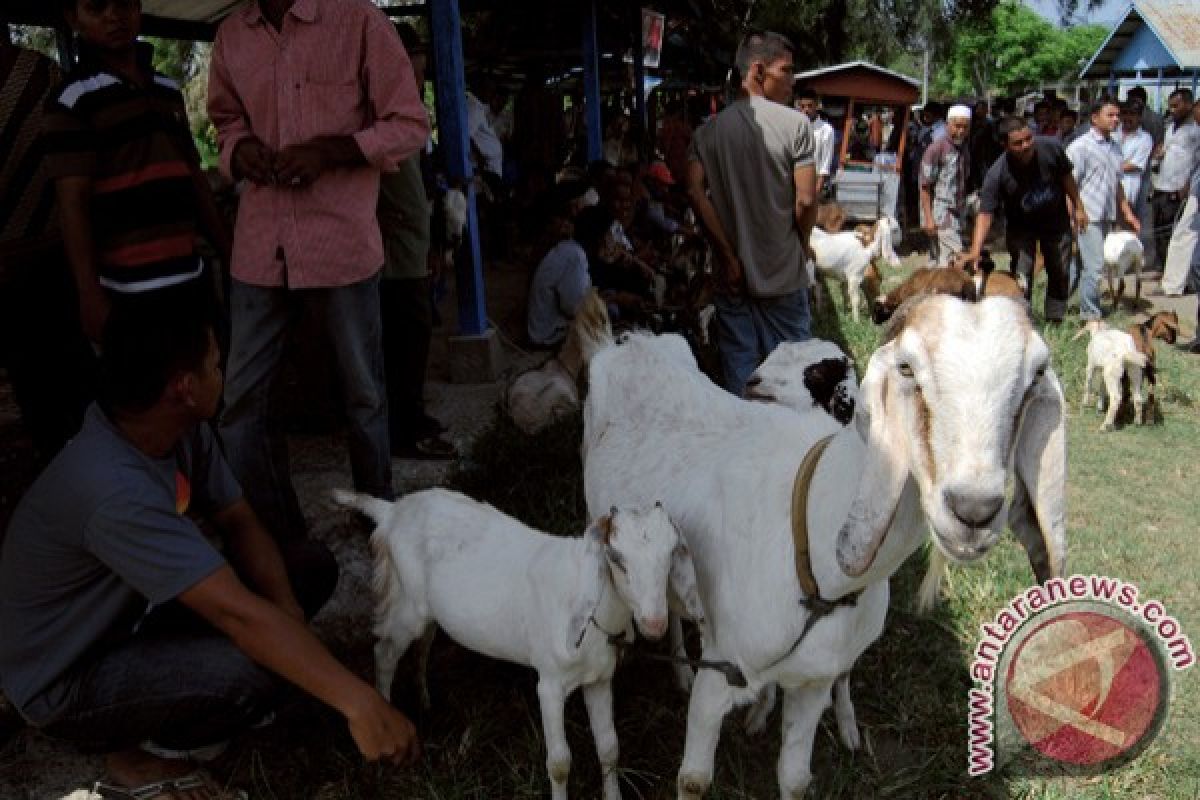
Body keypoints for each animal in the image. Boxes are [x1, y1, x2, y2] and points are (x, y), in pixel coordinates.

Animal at [333, 489, 705, 800]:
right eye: (616, 558)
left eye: (671, 554)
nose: (655, 623)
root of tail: (394, 510)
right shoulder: (550, 684)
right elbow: (559, 762)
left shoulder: (599, 679)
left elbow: (609, 746)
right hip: (405, 602)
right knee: (385, 652)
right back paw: (385, 725)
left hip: (426, 610)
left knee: (423, 643)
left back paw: (425, 700)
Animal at [585, 296, 1065, 800]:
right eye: (907, 367)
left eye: (1035, 374)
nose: (973, 509)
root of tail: (633, 340)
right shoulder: (718, 673)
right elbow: (694, 780)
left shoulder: (812, 682)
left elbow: (795, 779)